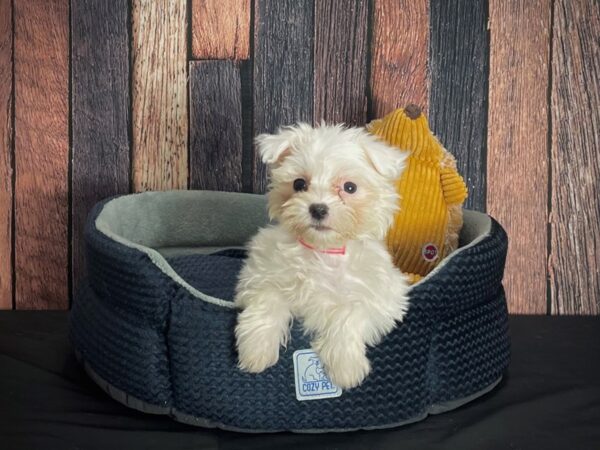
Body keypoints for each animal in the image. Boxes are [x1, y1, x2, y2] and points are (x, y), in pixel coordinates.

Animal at [232, 123, 410, 390]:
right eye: (299, 184)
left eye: (349, 187)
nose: (318, 208)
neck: (322, 250)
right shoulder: (258, 275)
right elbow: (268, 298)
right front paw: (256, 349)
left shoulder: (385, 298)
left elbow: (351, 311)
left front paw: (346, 366)